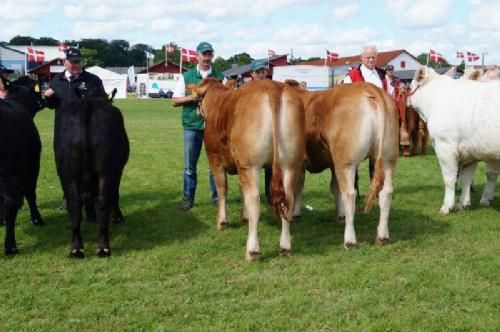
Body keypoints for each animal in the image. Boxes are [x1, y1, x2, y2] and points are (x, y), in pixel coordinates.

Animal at [55, 97, 129, 258]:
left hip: (67, 171)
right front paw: (118, 217)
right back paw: (103, 248)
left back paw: (76, 249)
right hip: (107, 172)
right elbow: (115, 196)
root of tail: (86, 104)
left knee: (74, 203)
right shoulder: (118, 171)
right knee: (103, 202)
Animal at [195, 79, 304, 260]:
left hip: (251, 166)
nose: (198, 112)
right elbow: (241, 190)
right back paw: (285, 247)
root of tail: (273, 86)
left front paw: (222, 221)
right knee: (287, 199)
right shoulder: (240, 166)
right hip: (290, 165)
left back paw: (252, 250)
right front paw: (244, 217)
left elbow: (222, 189)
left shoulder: (215, 159)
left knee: (254, 200)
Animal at [290, 82, 398, 249]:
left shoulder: (301, 162)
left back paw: (350, 240)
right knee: (386, 192)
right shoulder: (333, 164)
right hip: (387, 160)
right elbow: (335, 188)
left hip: (347, 163)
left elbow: (298, 187)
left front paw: (294, 214)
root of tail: (371, 89)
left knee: (349, 194)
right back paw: (382, 236)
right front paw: (340, 215)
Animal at [410, 66, 500, 214]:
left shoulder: (445, 146)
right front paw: (464, 204)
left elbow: (449, 178)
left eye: (410, 85)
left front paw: (447, 206)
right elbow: (467, 179)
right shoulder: (471, 152)